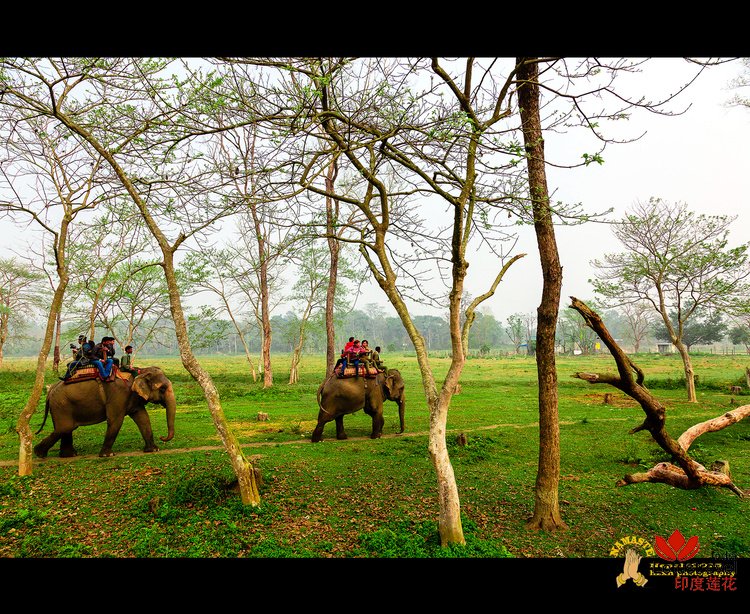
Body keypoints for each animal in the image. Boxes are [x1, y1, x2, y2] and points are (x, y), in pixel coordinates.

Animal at [35, 366, 178, 462]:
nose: (162, 437)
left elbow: (143, 418)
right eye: (162, 389)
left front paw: (153, 450)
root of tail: (50, 390)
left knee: (66, 428)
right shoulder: (119, 394)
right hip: (61, 405)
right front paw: (108, 455)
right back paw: (39, 454)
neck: (140, 371)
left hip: (61, 406)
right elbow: (115, 420)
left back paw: (68, 455)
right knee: (65, 427)